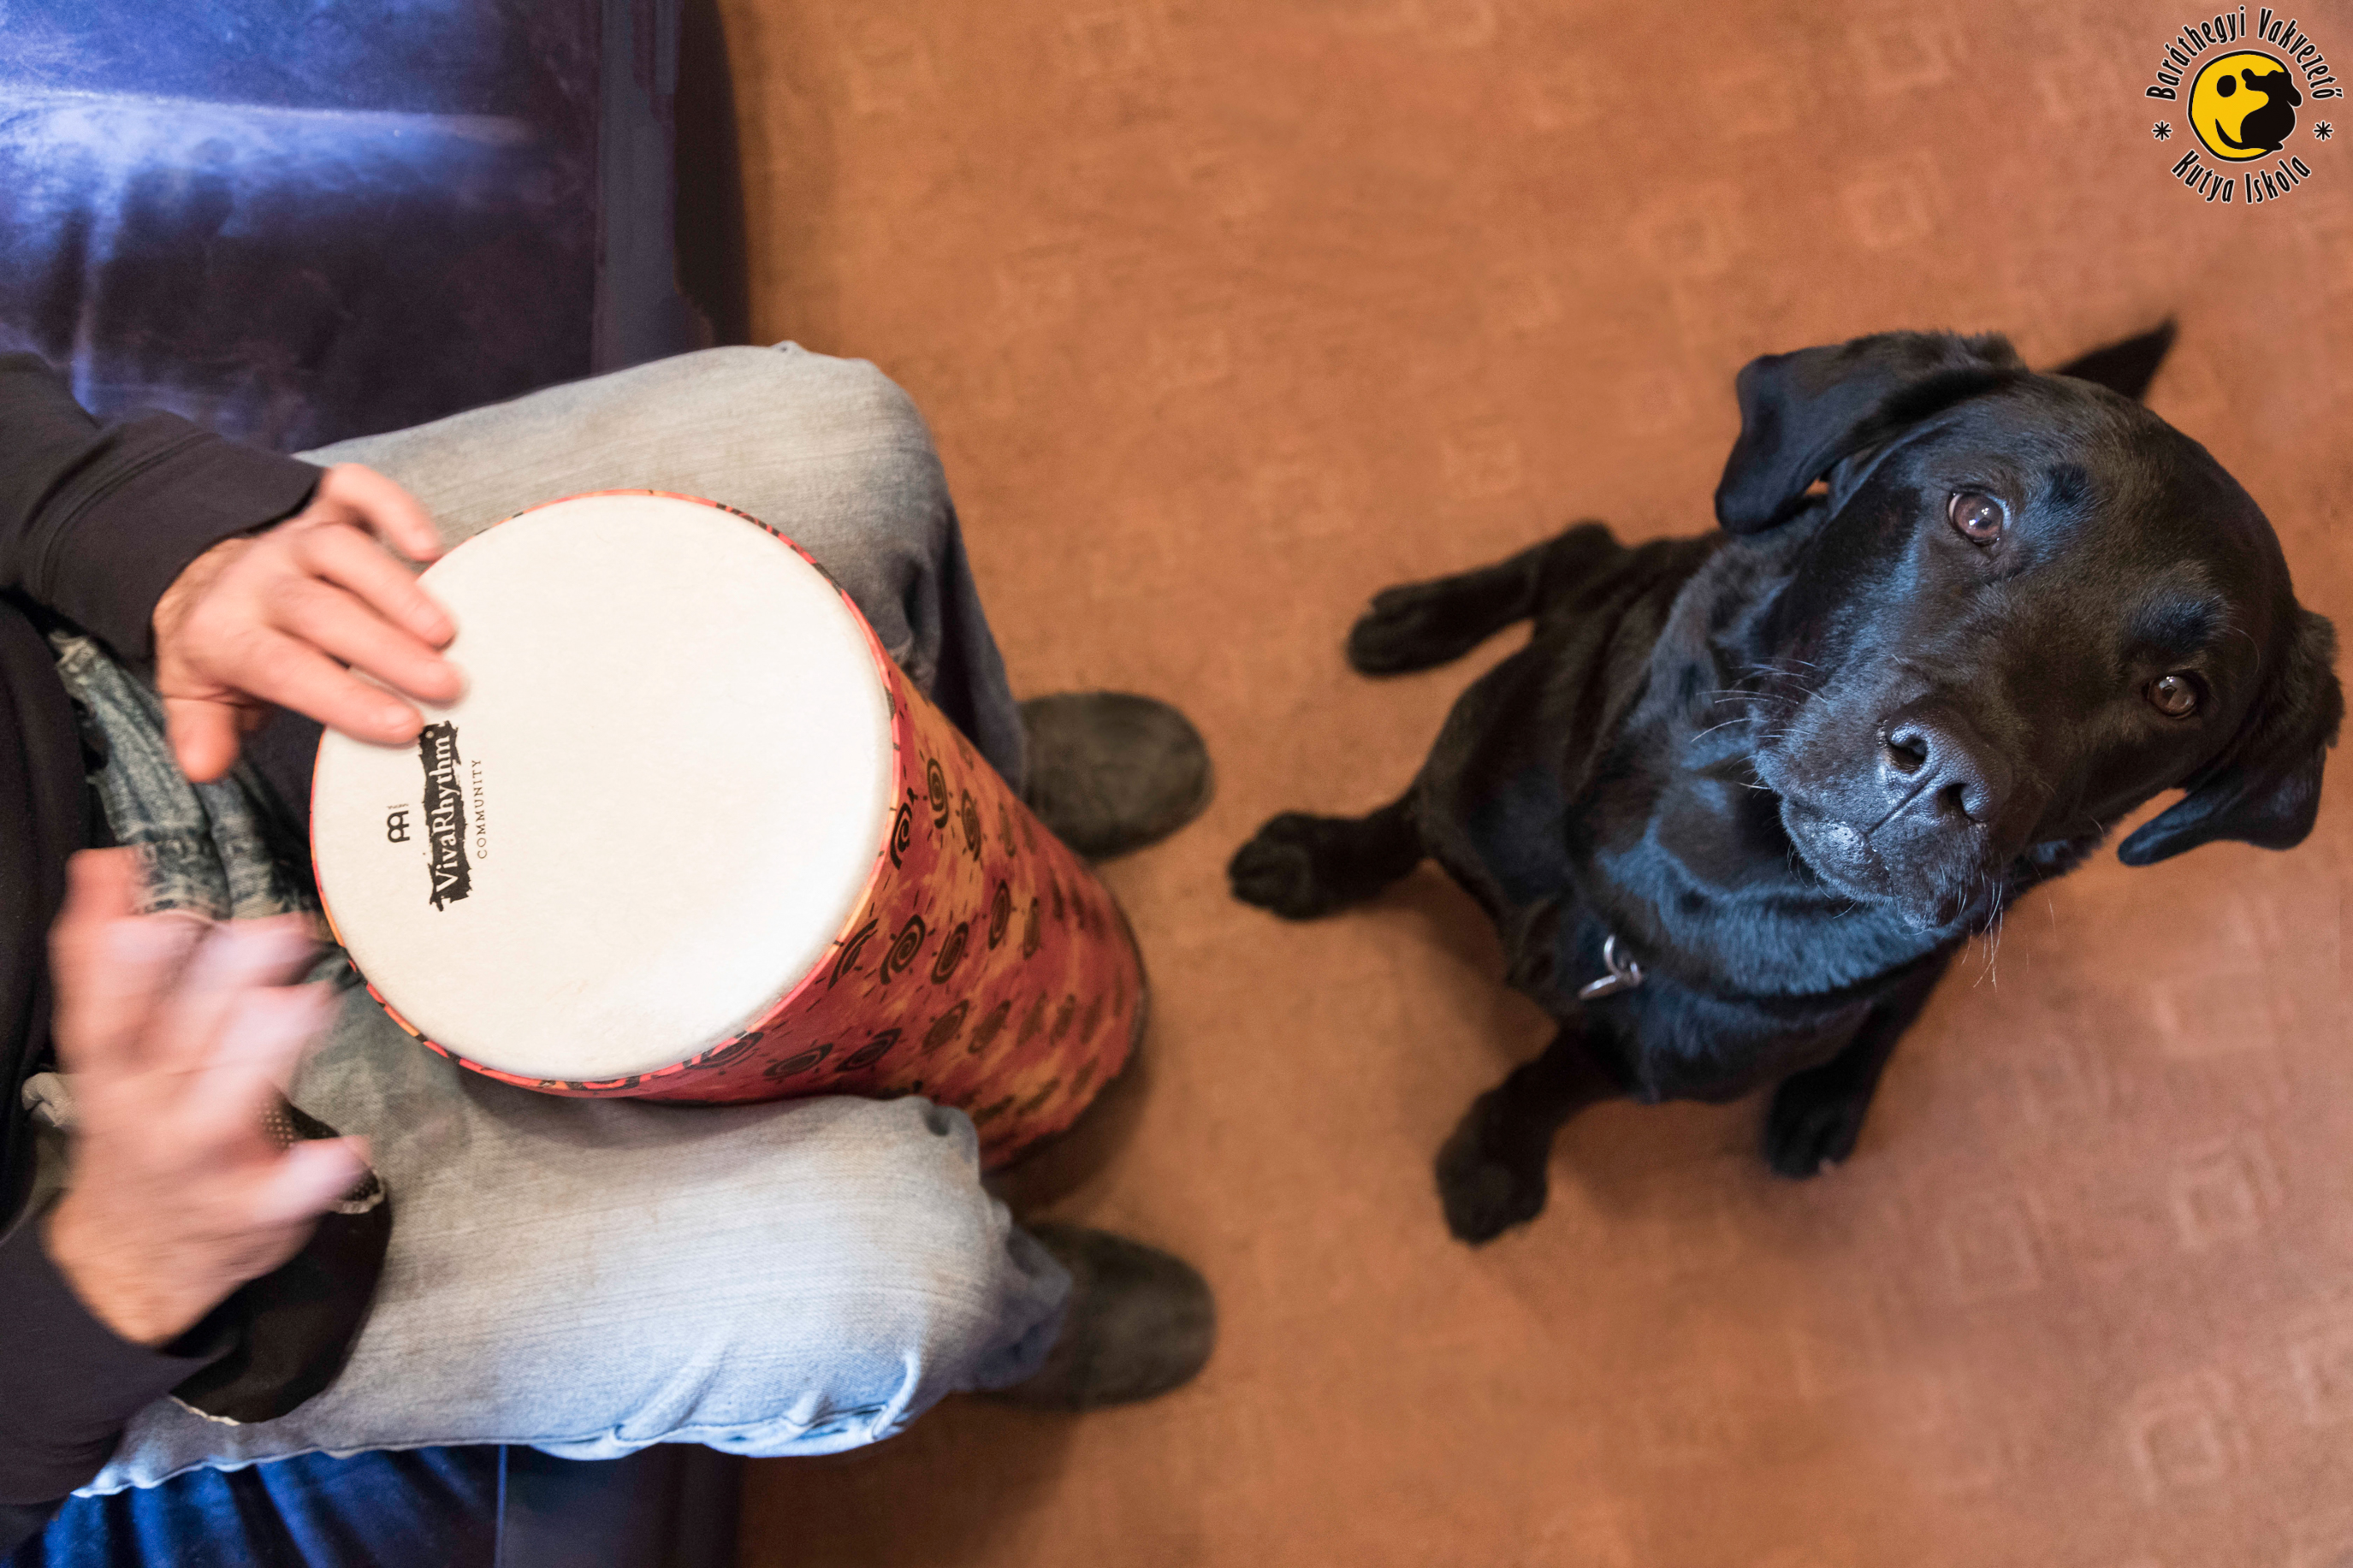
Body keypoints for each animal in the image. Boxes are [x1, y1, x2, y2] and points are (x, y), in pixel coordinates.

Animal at [1229, 326, 2342, 1243]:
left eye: (2175, 693)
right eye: (1976, 512)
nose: (1949, 776)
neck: (1697, 870)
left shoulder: (1648, 1056)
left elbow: (1554, 1081)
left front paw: (1495, 1159)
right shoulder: (1465, 793)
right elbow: (1397, 824)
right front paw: (1317, 857)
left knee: (1900, 1007)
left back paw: (1826, 1102)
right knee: (1582, 545)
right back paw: (1423, 619)